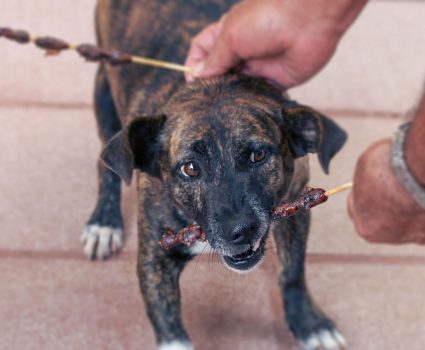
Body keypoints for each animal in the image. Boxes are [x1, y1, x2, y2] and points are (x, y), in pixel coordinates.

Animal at [81, 0, 346, 350]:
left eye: (258, 155)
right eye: (190, 168)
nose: (241, 231)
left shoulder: (296, 208)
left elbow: (292, 272)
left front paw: (309, 324)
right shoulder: (154, 258)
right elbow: (171, 328)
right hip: (105, 90)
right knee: (106, 164)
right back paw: (104, 222)